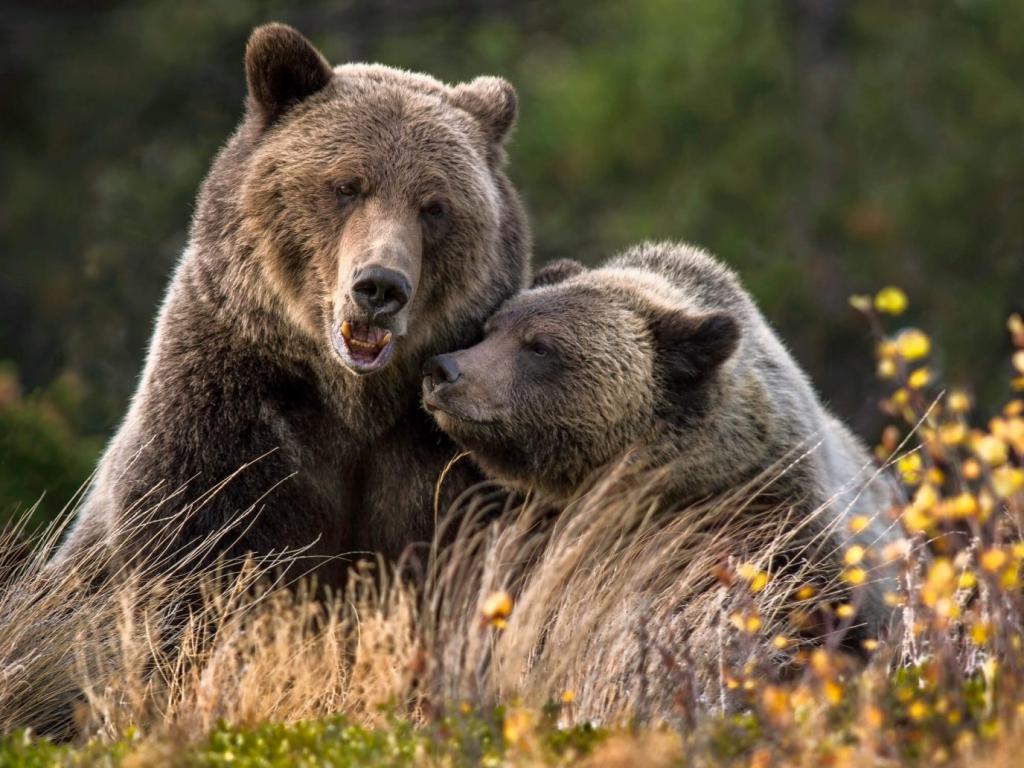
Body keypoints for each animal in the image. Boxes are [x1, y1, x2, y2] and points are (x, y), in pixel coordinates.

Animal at [55, 24, 528, 589]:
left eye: (434, 206)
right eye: (347, 185)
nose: (380, 287)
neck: (354, 404)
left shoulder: (445, 457)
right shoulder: (229, 428)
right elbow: (195, 555)